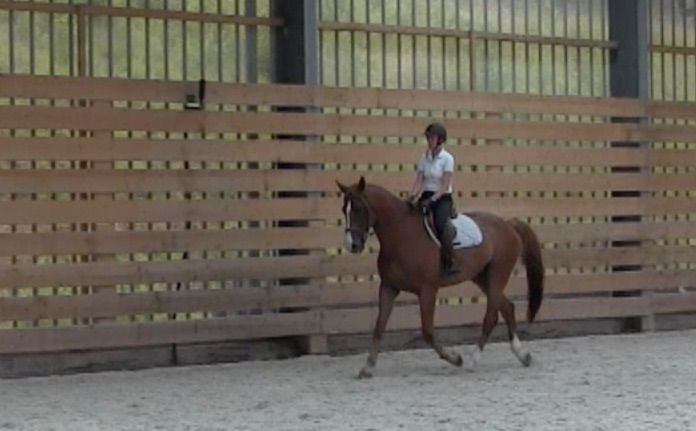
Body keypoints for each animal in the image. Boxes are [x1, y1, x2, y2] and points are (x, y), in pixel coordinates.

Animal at [337, 176, 544, 378]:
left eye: (358, 208)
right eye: (344, 209)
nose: (352, 245)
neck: (401, 235)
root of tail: (509, 224)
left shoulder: (427, 291)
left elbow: (428, 332)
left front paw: (455, 358)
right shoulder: (389, 287)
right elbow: (379, 327)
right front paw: (367, 367)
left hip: (497, 275)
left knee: (491, 317)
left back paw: (473, 360)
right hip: (482, 278)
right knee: (508, 307)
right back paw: (522, 355)